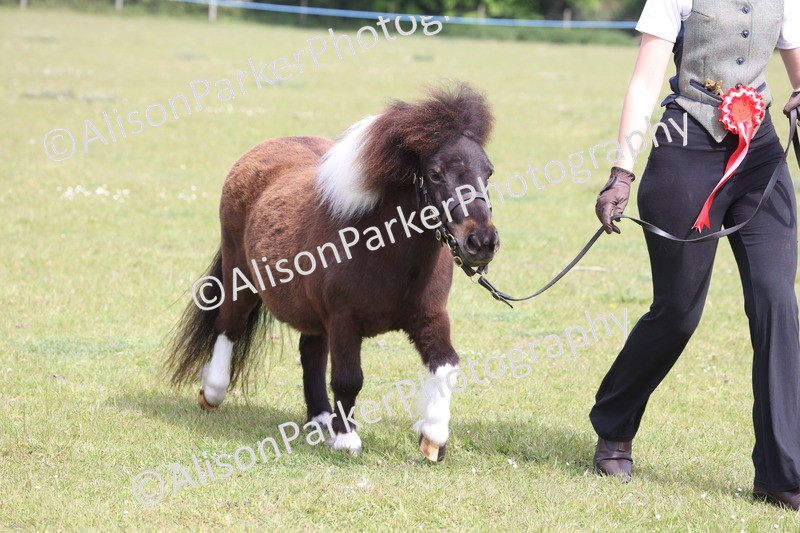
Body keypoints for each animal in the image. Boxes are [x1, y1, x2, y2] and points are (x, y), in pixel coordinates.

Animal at [166, 82, 499, 461]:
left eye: (487, 171)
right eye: (435, 173)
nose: (482, 242)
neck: (384, 249)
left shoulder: (429, 317)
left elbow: (446, 366)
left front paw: (433, 437)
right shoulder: (344, 319)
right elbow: (348, 378)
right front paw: (347, 439)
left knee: (310, 350)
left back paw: (321, 416)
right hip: (242, 276)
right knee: (228, 325)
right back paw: (213, 391)